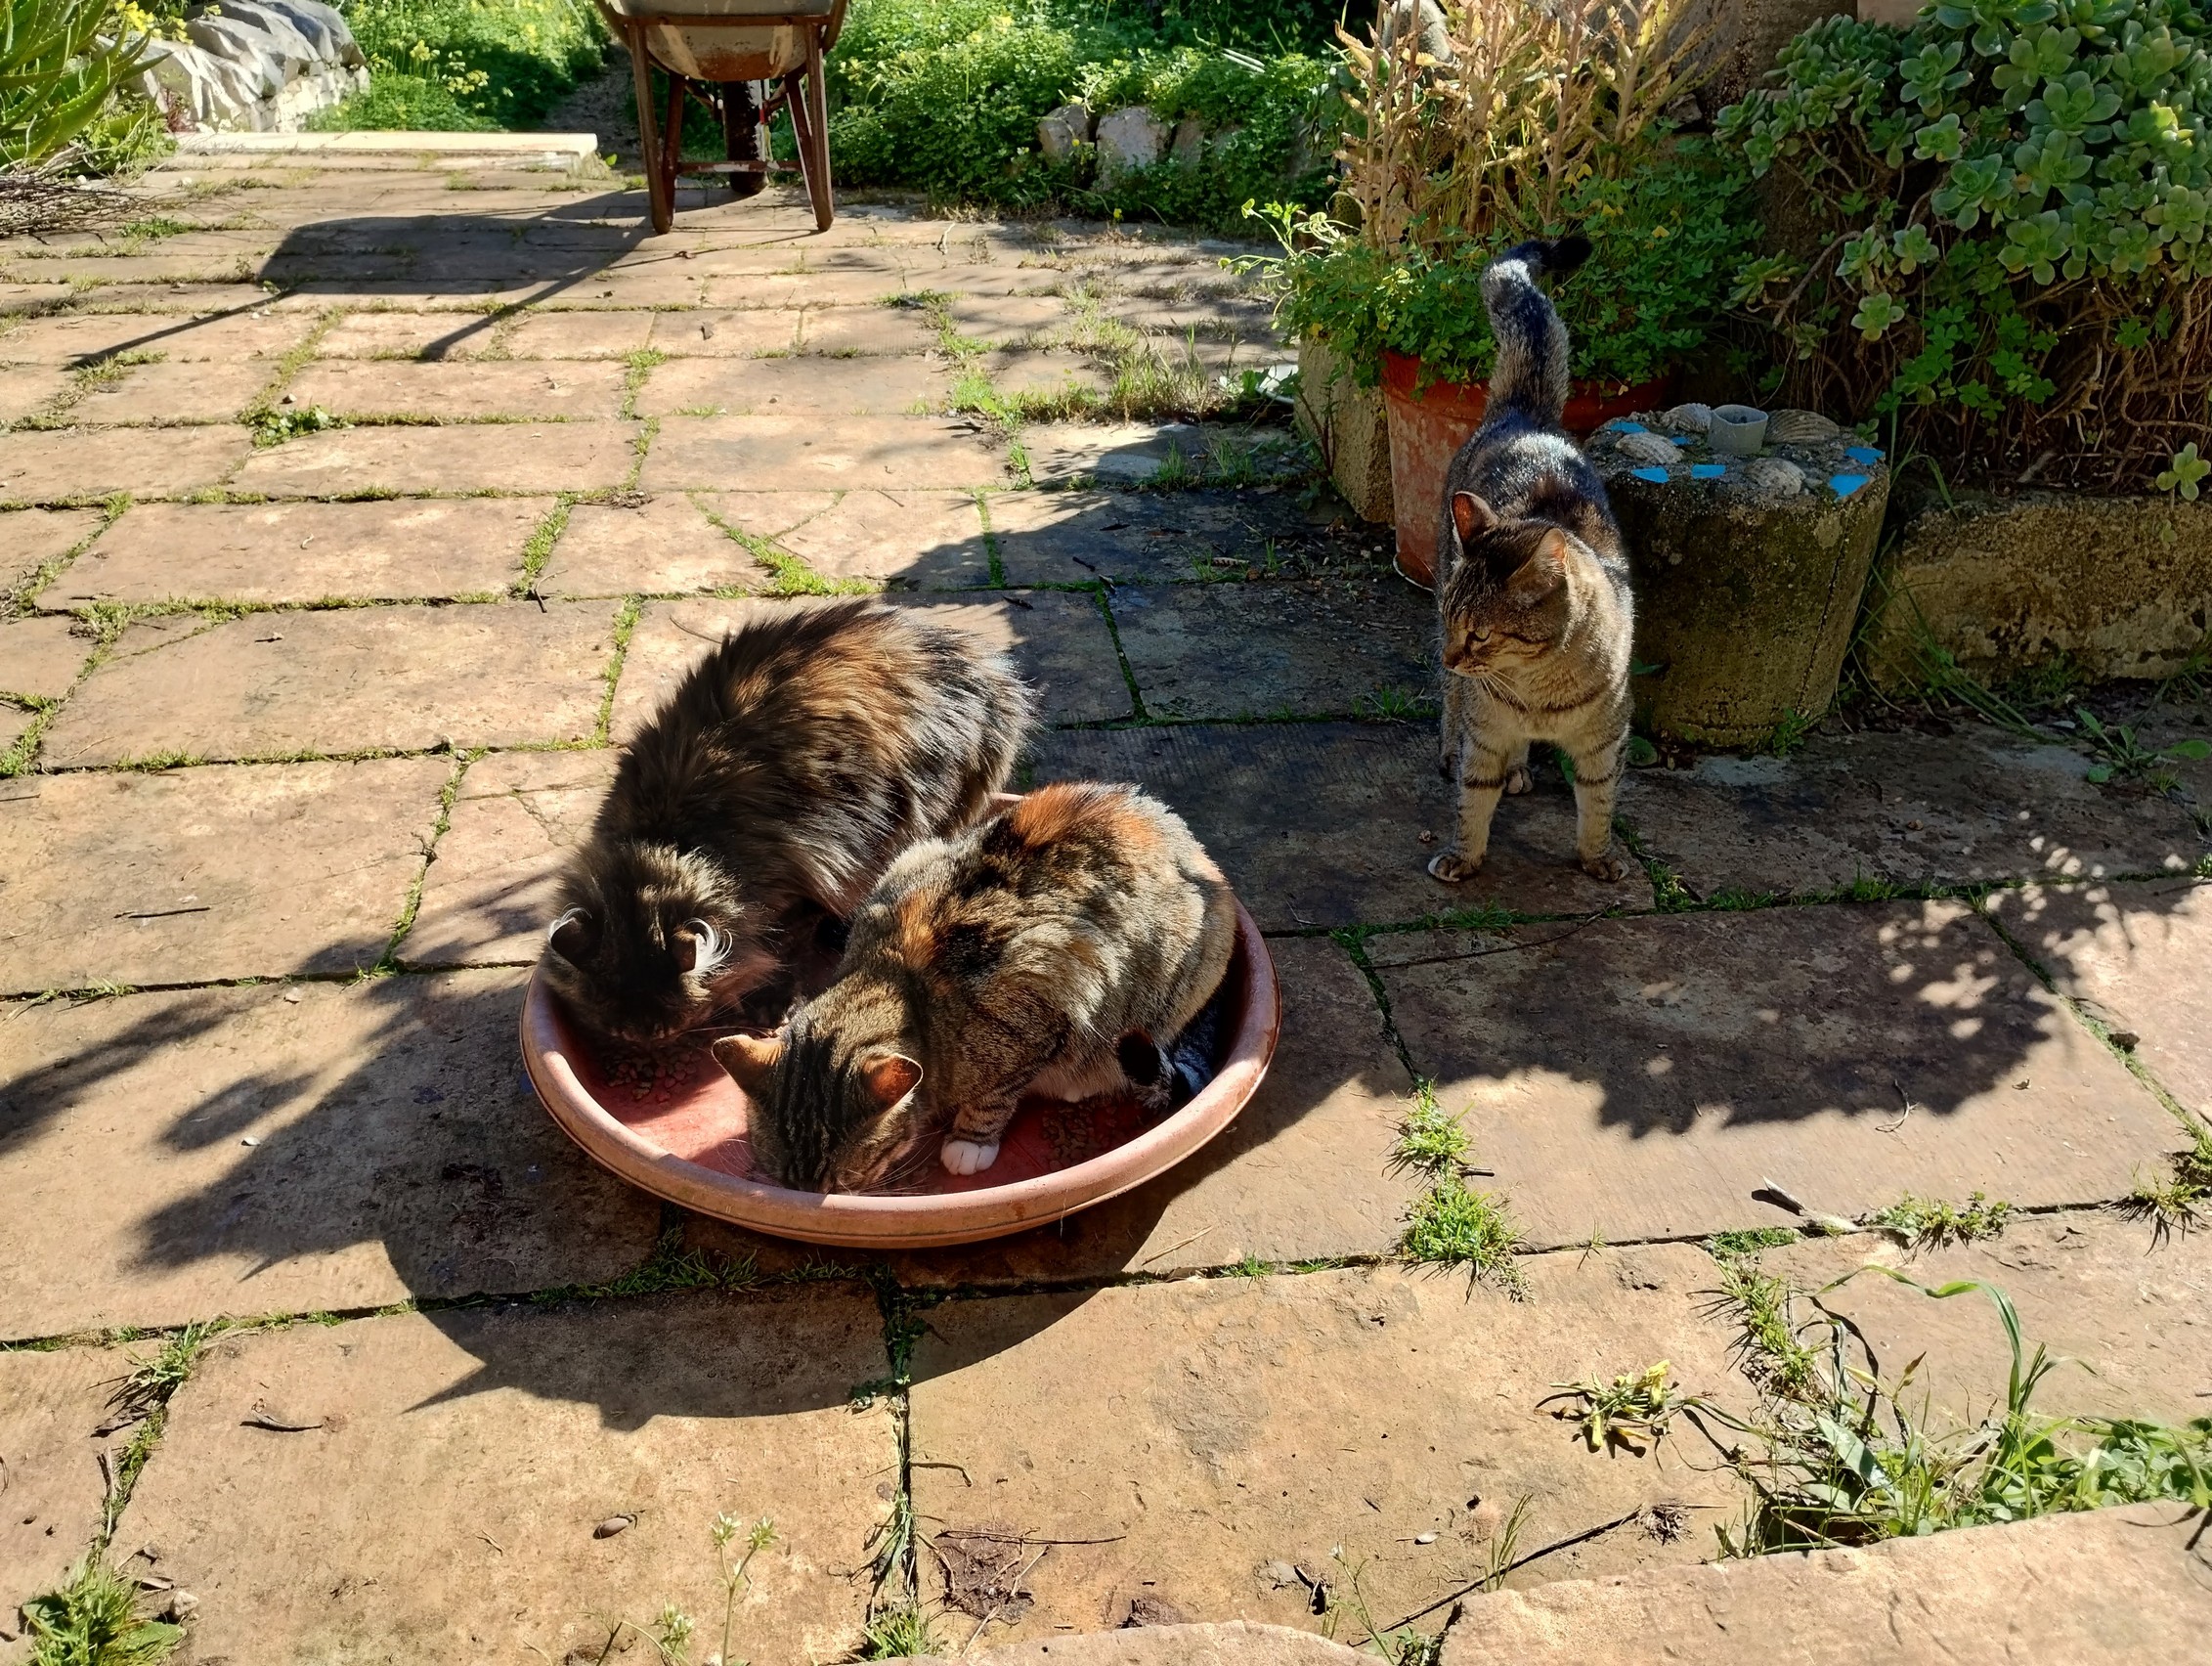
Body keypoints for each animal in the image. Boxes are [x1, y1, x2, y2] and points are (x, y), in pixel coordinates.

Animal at [542, 598, 1036, 1043]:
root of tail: (978, 659)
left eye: (677, 1022)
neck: (673, 838)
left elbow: (782, 947)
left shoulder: (807, 881)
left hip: (920, 812)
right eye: (617, 1028)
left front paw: (771, 999)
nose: (647, 1041)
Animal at [713, 781, 1238, 1192]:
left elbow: (996, 1094)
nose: (814, 1198)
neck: (898, 981)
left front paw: (969, 1142)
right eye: (785, 1182)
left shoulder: (1050, 984)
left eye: (843, 1181)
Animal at [1428, 234, 1636, 885]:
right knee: (1452, 708)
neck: (1537, 693)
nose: (1450, 653)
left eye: (1482, 634)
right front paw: (1463, 857)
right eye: (1454, 624)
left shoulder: (1605, 742)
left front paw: (1599, 859)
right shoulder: (1487, 731)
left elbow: (1598, 802)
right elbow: (1473, 798)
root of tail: (1527, 414)